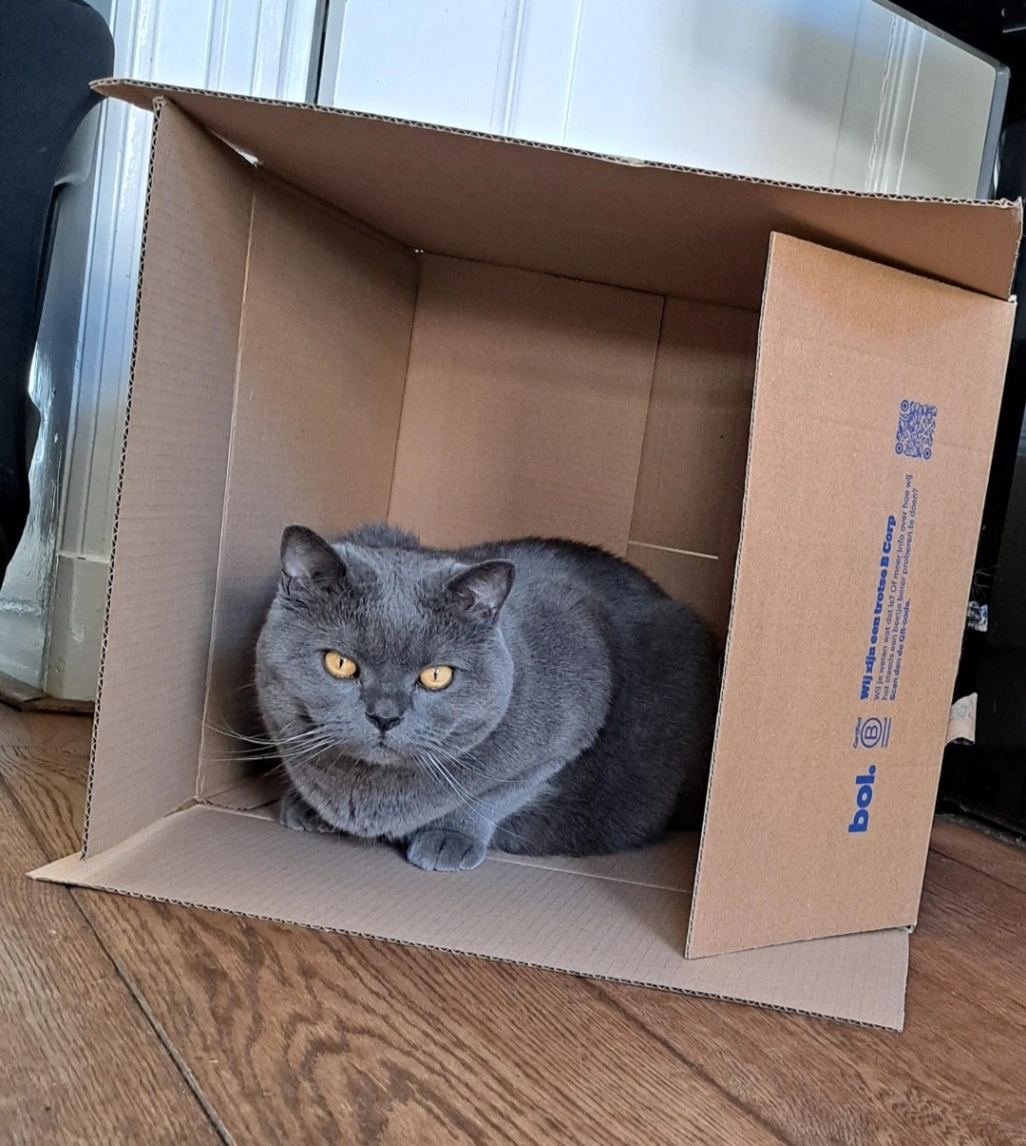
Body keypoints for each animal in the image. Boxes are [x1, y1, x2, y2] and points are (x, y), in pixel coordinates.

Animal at [255, 522, 718, 871]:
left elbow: (499, 791)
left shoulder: (574, 716)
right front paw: (306, 804)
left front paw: (448, 837)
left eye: (436, 676)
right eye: (340, 663)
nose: (384, 715)